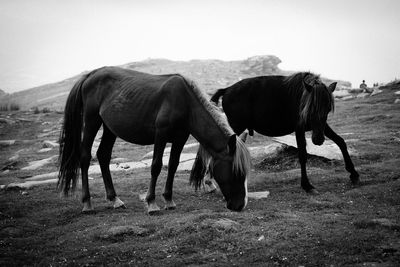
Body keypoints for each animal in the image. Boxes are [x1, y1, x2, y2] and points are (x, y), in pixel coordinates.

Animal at [57, 67, 250, 214]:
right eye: (236, 172)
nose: (240, 205)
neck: (184, 103)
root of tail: (91, 75)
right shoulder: (161, 135)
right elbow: (156, 165)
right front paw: (151, 203)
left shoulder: (180, 138)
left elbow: (173, 165)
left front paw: (169, 200)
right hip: (91, 121)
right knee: (85, 157)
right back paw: (87, 203)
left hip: (109, 128)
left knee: (103, 156)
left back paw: (115, 199)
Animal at [209, 71, 360, 193]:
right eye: (310, 108)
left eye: (328, 108)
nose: (318, 140)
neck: (301, 96)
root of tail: (227, 89)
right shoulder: (299, 129)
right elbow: (302, 155)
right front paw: (307, 185)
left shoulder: (322, 127)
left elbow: (341, 141)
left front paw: (353, 173)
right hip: (236, 127)